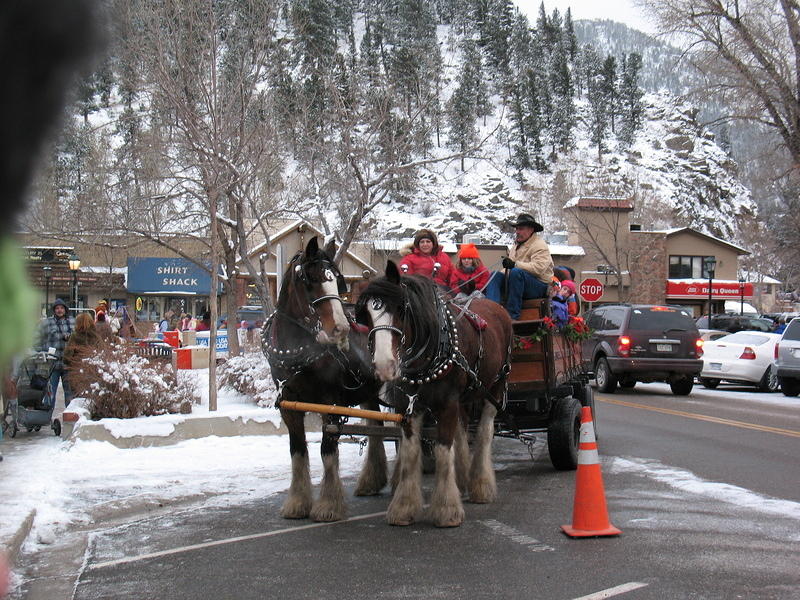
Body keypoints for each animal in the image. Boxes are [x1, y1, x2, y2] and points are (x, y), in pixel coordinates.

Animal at [262, 237, 388, 524]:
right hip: (369, 392)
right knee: (376, 426)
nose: (340, 328)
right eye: (310, 280)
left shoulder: (329, 404)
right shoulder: (289, 406)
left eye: (338, 281)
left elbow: (327, 450)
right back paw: (371, 481)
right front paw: (297, 503)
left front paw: (328, 505)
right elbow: (298, 450)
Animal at [356, 260, 512, 528]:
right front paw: (404, 507)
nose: (385, 365)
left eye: (401, 309)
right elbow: (410, 452)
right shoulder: (408, 406)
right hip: (464, 396)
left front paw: (447, 509)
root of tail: (497, 307)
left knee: (484, 431)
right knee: (463, 428)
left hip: (495, 386)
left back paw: (480, 484)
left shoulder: (447, 403)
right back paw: (463, 479)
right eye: (366, 315)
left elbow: (442, 449)